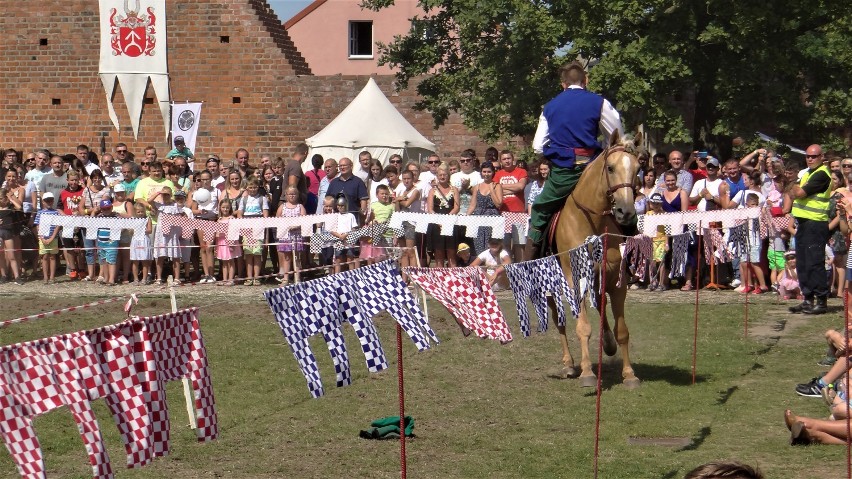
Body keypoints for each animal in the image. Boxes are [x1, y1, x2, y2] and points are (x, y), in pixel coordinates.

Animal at [552, 131, 640, 390]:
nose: (625, 212)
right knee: (559, 320)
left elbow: (622, 331)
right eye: (610, 168)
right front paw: (587, 372)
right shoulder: (576, 282)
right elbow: (583, 327)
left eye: (638, 169)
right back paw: (569, 364)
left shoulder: (617, 283)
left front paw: (629, 374)